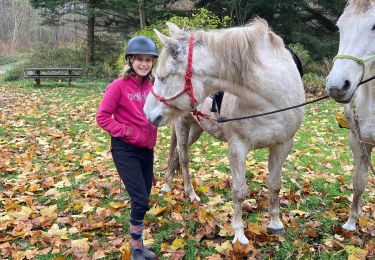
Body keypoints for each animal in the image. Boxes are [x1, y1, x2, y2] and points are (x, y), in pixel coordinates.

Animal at [144, 19, 306, 244]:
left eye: (162, 77)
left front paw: (275, 224)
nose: (147, 113)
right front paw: (239, 233)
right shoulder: (237, 147)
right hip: (183, 122)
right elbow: (239, 191)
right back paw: (189, 193)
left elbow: (274, 184)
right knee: (183, 157)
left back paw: (169, 185)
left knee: (177, 153)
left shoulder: (282, 145)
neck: (272, 97)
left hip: (197, 129)